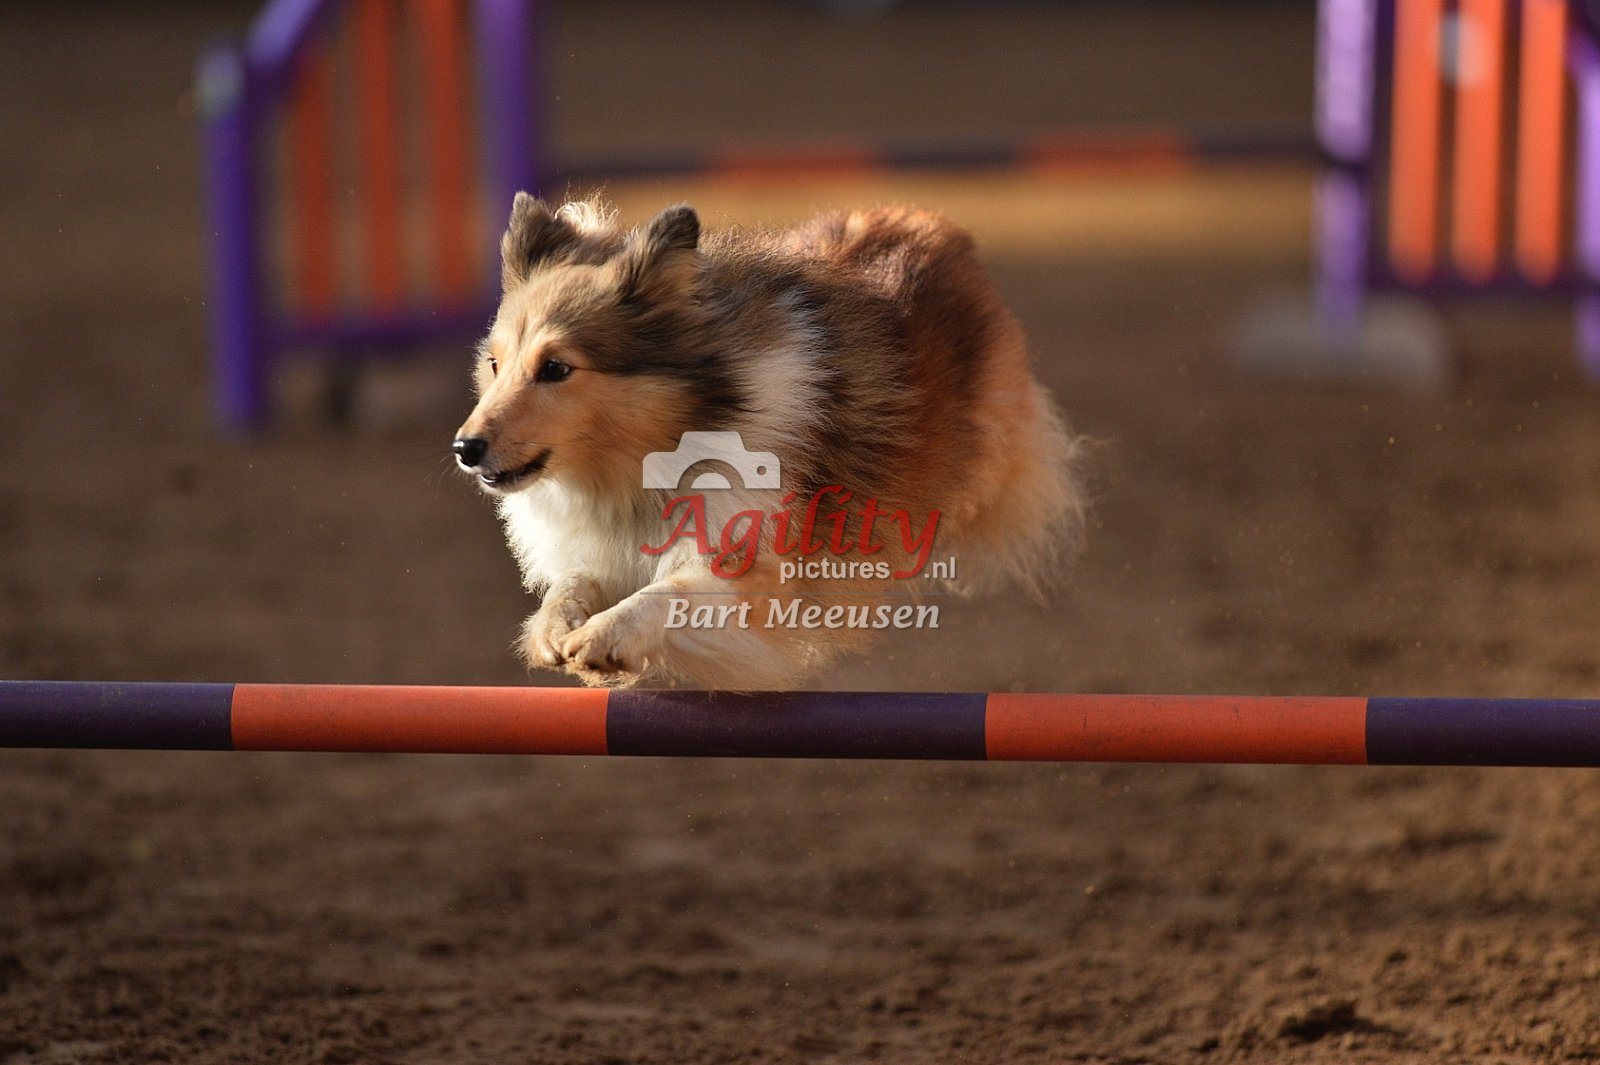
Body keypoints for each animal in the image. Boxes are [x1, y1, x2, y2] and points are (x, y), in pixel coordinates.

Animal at [453, 194, 1083, 689]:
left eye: (556, 368)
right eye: (494, 363)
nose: (465, 448)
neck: (645, 464)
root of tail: (927, 216)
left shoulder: (754, 565)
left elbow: (670, 591)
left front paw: (602, 637)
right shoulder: (604, 546)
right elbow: (572, 583)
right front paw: (552, 629)